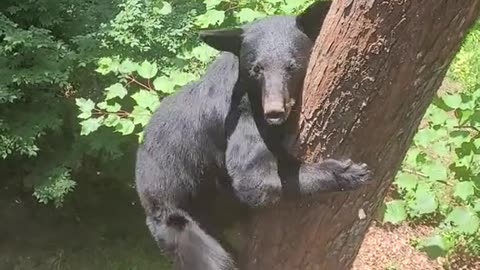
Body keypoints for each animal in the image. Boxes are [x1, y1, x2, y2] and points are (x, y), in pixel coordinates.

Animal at [135, 1, 372, 268]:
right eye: (257, 68)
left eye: (292, 66)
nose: (275, 111)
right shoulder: (242, 115)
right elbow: (255, 181)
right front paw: (346, 172)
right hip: (177, 220)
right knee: (212, 257)